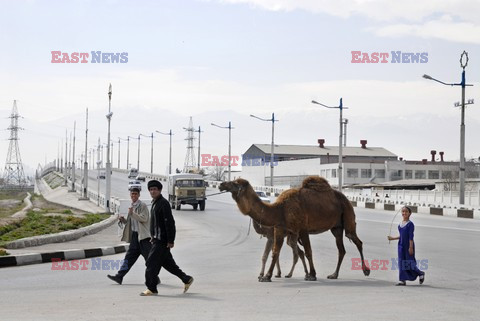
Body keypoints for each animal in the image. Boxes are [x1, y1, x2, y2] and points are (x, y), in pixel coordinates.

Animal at [218, 174, 372, 282]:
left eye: (235, 183)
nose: (221, 185)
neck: (280, 209)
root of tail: (346, 199)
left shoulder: (303, 228)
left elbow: (308, 251)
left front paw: (312, 275)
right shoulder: (280, 228)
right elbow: (275, 252)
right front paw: (267, 276)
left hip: (348, 215)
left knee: (356, 240)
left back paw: (366, 271)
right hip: (336, 227)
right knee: (341, 249)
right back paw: (334, 275)